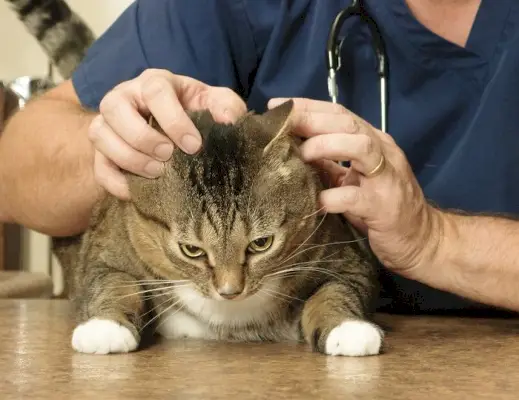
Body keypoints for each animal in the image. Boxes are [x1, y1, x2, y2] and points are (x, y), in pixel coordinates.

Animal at [52, 99, 386, 356]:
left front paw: (349, 330)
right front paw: (105, 328)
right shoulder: (103, 251)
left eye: (261, 243)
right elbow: (113, 282)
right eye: (191, 249)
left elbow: (335, 291)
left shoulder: (346, 256)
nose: (230, 291)